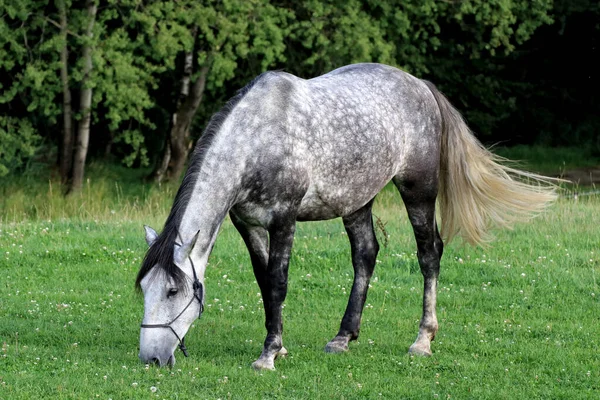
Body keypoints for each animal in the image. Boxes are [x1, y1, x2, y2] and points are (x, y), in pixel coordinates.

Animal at [136, 61, 556, 368]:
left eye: (173, 291)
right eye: (144, 288)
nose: (151, 359)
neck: (259, 138)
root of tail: (421, 86)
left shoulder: (284, 220)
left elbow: (278, 282)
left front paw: (268, 355)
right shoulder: (248, 223)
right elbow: (263, 281)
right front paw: (279, 344)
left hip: (418, 190)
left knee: (429, 254)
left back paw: (422, 340)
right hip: (357, 202)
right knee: (365, 256)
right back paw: (343, 337)